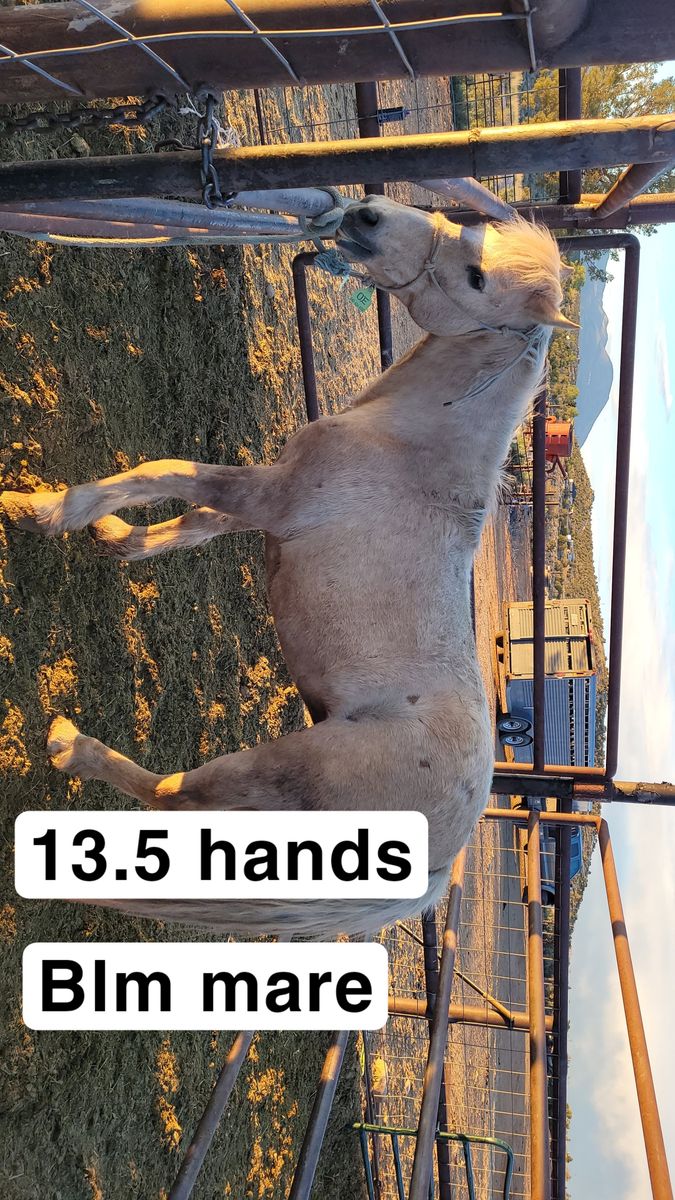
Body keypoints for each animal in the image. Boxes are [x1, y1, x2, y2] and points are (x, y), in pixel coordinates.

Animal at [1, 197, 576, 939]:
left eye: (478, 280)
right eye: (469, 227)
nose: (366, 215)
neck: (407, 445)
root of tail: (436, 867)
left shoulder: (264, 495)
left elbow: (161, 473)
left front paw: (41, 510)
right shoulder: (269, 509)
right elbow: (184, 527)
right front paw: (110, 535)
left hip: (274, 771)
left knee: (169, 797)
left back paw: (69, 745)